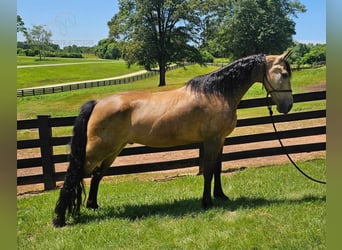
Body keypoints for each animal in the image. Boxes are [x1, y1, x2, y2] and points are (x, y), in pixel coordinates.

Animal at [52, 51, 292, 227]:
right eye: (284, 74)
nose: (287, 106)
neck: (216, 93)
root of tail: (98, 103)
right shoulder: (212, 141)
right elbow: (208, 171)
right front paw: (207, 202)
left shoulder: (220, 140)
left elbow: (217, 169)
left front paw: (221, 196)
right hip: (96, 151)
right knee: (72, 177)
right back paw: (59, 219)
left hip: (112, 151)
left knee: (96, 176)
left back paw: (92, 205)